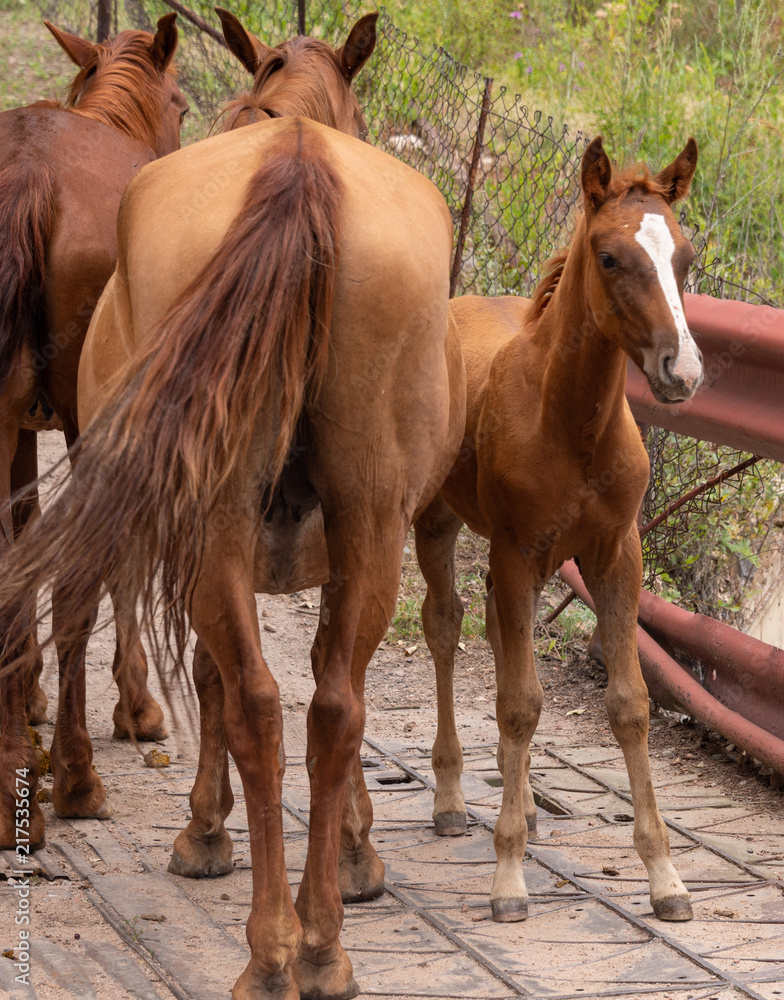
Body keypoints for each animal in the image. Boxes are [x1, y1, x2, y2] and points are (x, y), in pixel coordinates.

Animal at [414, 136, 702, 924]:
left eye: (685, 256)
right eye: (609, 258)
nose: (684, 371)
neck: (573, 428)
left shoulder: (615, 556)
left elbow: (629, 705)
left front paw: (665, 875)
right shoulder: (517, 554)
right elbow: (519, 704)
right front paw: (509, 876)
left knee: (488, 633)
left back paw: (528, 805)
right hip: (434, 521)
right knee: (444, 626)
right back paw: (450, 796)